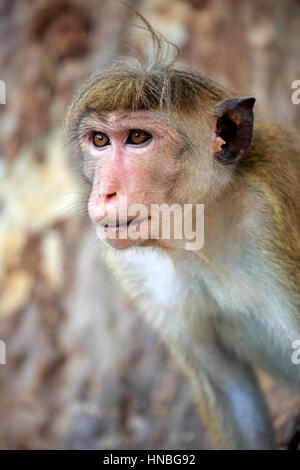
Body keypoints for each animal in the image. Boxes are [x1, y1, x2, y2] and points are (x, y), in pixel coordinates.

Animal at [64, 13, 300, 448]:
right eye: (100, 140)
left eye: (137, 137)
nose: (104, 193)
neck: (198, 233)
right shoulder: (137, 267)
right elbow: (230, 391)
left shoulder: (266, 218)